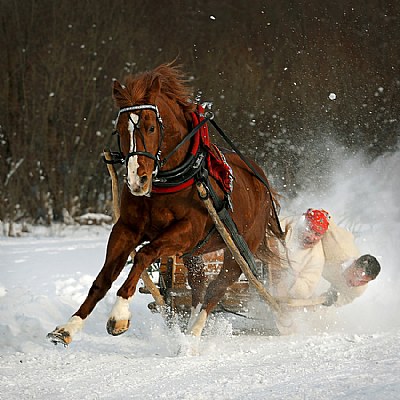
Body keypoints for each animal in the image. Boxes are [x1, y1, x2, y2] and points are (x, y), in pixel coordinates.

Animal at [47, 61, 282, 344]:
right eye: (119, 129)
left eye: (150, 128)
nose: (137, 180)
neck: (167, 181)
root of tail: (263, 182)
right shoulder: (127, 229)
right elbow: (103, 278)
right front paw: (69, 326)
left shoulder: (186, 231)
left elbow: (144, 254)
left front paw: (119, 315)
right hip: (195, 254)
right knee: (199, 287)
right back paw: (186, 330)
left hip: (238, 250)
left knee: (216, 289)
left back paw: (193, 336)